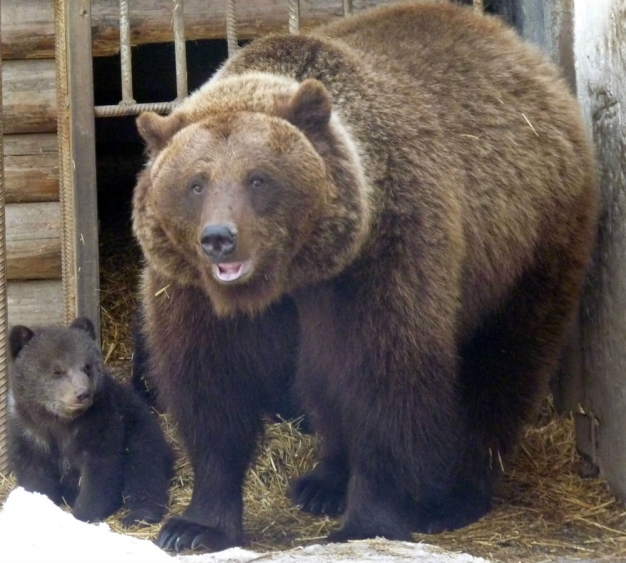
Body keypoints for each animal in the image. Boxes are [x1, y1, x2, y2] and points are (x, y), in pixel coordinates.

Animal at [130, 1, 596, 556]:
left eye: (258, 178)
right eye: (196, 183)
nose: (220, 238)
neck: (295, 275)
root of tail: (524, 54)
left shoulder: (384, 258)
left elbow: (382, 380)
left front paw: (369, 518)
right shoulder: (193, 292)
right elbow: (212, 388)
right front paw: (194, 525)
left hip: (528, 245)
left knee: (502, 364)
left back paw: (455, 496)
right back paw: (322, 483)